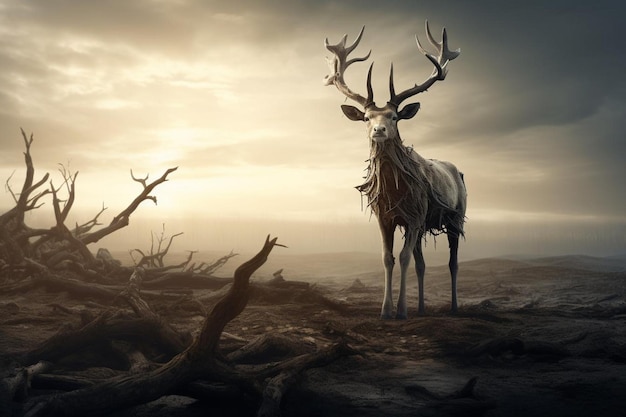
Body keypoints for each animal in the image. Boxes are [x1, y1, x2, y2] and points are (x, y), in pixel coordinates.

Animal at [322, 21, 464, 316]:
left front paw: (400, 310)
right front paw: (386, 310)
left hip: (456, 216)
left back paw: (455, 307)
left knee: (452, 262)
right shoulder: (385, 216)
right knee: (422, 264)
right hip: (423, 225)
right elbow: (388, 257)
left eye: (395, 116)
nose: (379, 130)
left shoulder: (415, 215)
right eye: (366, 117)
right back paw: (421, 308)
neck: (395, 192)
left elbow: (404, 256)